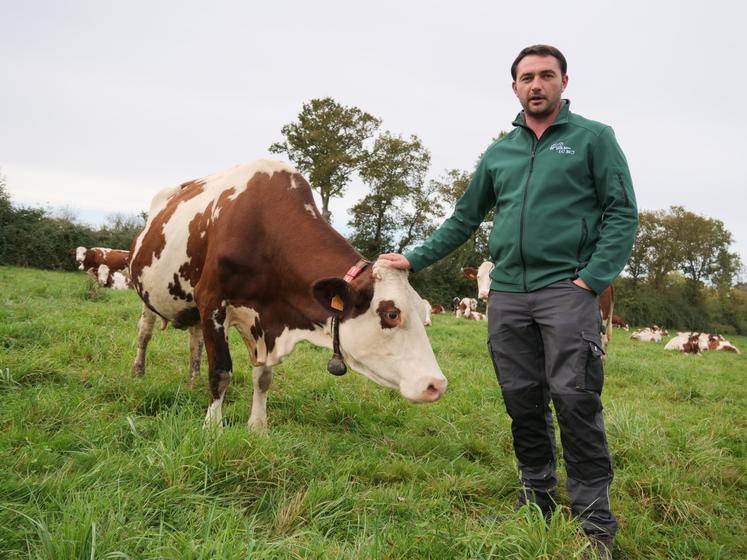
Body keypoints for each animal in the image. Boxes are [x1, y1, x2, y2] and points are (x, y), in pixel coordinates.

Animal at [128, 160, 448, 430]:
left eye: (424, 315)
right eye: (392, 313)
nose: (437, 384)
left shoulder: (264, 320)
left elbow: (263, 377)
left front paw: (258, 428)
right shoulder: (212, 302)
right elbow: (220, 371)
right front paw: (212, 429)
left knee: (194, 340)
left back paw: (192, 381)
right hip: (147, 296)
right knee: (145, 333)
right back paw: (138, 372)